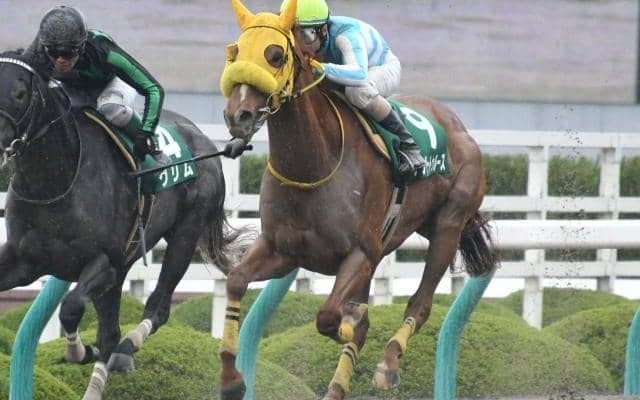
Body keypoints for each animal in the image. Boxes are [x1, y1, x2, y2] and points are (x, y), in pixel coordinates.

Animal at [0, 50, 242, 400]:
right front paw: (83, 352)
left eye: (19, 93)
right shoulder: (24, 260)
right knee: (111, 331)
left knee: (154, 310)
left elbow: (71, 307)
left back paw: (126, 349)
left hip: (184, 234)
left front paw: (78, 351)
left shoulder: (104, 262)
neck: (56, 182)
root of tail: (203, 139)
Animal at [216, 1, 499, 399]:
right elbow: (236, 280)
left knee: (421, 303)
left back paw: (388, 365)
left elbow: (331, 318)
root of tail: (457, 125)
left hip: (448, 224)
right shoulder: (283, 250)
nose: (236, 115)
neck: (313, 165)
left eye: (275, 54)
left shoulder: (359, 254)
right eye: (235, 52)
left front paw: (354, 327)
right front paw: (231, 379)